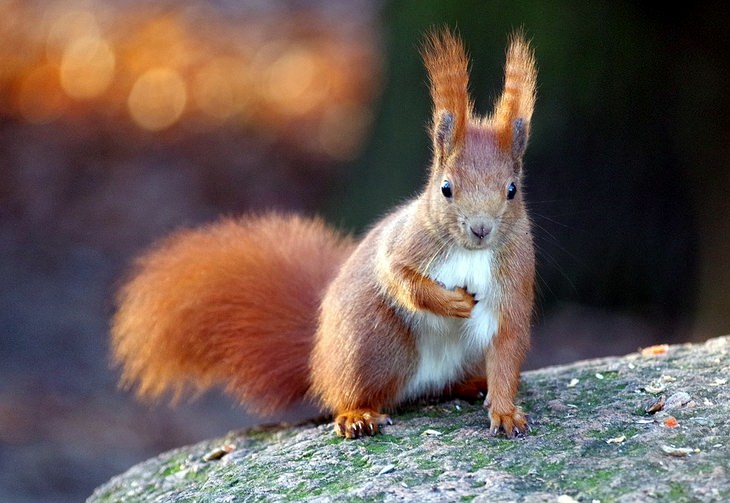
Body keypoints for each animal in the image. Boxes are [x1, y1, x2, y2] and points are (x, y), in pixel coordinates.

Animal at [112, 29, 536, 440]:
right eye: (446, 188)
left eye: (512, 189)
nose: (480, 229)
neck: (470, 252)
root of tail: (318, 358)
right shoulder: (406, 242)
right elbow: (398, 277)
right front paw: (450, 303)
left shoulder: (514, 279)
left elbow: (506, 346)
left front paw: (505, 412)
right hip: (370, 343)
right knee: (346, 394)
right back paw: (356, 415)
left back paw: (473, 384)